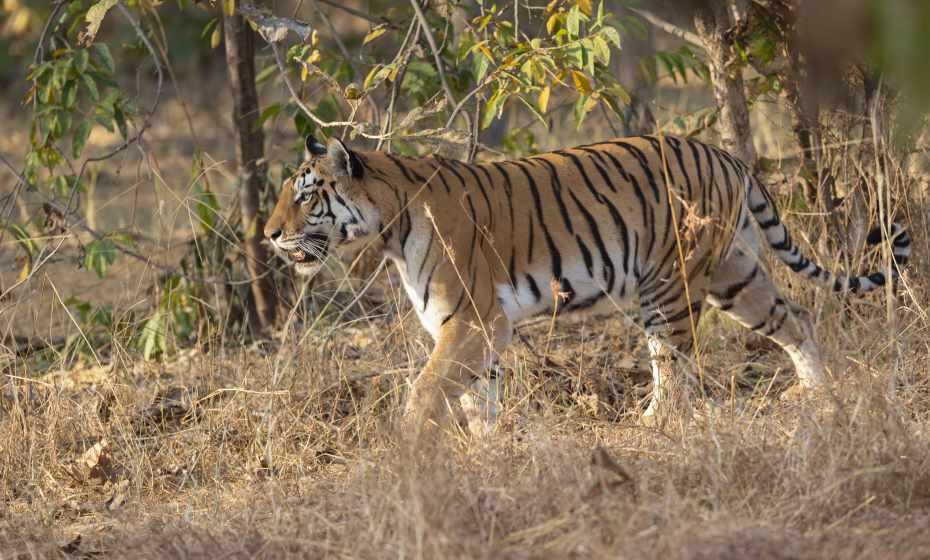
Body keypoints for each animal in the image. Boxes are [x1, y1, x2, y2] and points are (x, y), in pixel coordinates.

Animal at [260, 133, 908, 430]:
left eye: (306, 195)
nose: (267, 235)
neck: (390, 223)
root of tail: (725, 155)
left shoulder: (469, 318)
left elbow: (428, 389)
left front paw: (409, 448)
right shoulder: (480, 328)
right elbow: (478, 396)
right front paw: (489, 448)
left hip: (669, 283)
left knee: (673, 364)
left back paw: (653, 424)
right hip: (734, 273)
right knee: (795, 316)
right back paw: (818, 393)